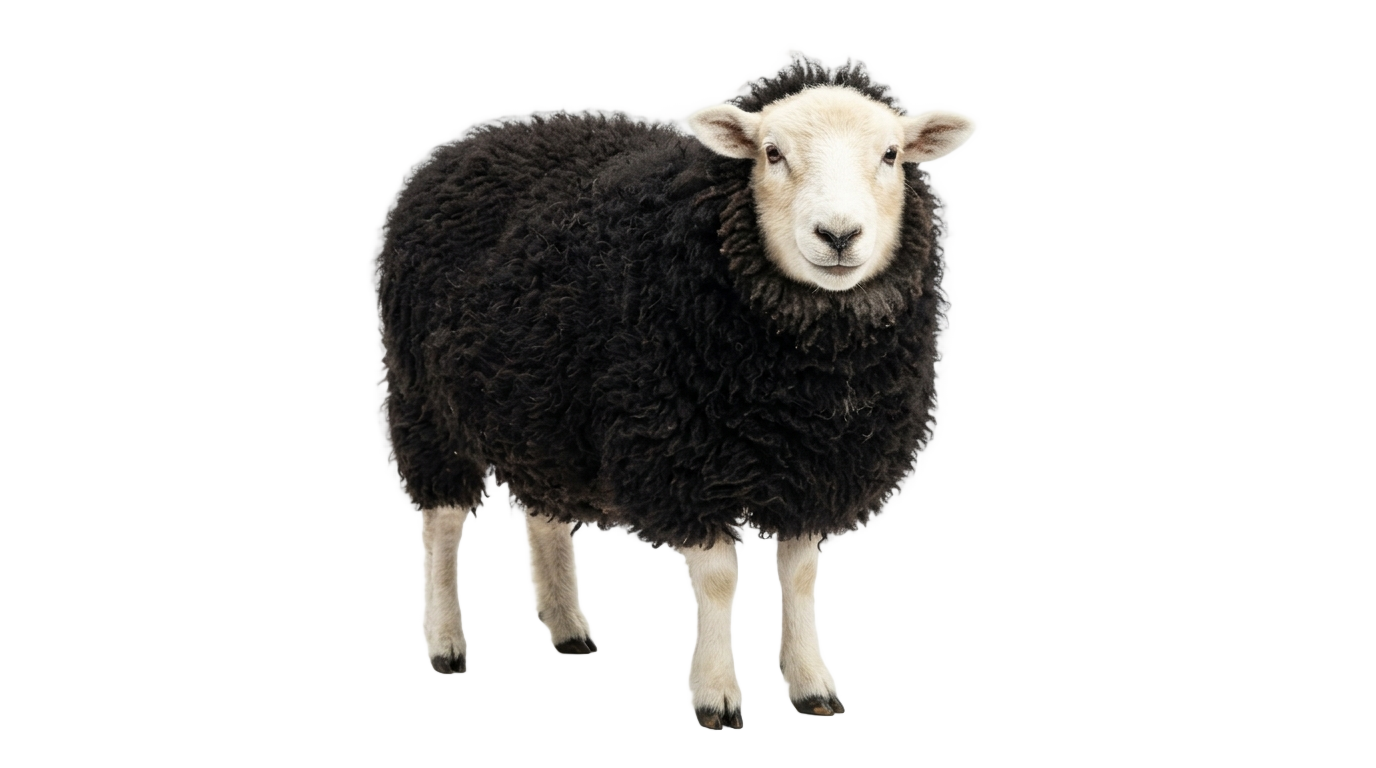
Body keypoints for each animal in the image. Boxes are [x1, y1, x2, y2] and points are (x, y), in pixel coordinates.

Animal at [377, 56, 970, 731]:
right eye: (771, 153)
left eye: (892, 155)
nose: (839, 235)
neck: (802, 391)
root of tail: (469, 144)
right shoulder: (686, 461)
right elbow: (715, 582)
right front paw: (716, 698)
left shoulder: (814, 470)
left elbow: (799, 578)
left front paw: (811, 686)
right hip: (425, 403)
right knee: (443, 526)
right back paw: (446, 643)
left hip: (543, 411)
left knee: (545, 515)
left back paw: (568, 629)